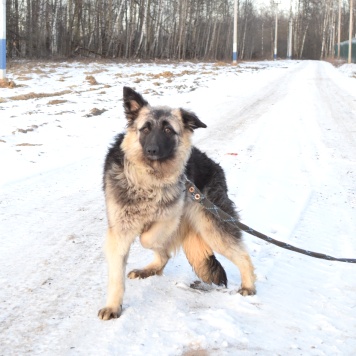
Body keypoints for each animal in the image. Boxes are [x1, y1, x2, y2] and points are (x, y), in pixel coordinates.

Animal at [97, 86, 256, 320]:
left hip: (212, 226)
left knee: (241, 254)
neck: (148, 179)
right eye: (145, 129)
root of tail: (215, 166)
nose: (152, 150)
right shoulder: (119, 231)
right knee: (164, 255)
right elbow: (118, 275)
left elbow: (147, 238)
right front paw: (113, 306)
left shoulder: (170, 217)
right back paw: (150, 269)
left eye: (168, 130)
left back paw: (249, 286)